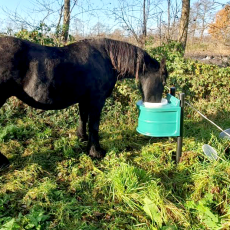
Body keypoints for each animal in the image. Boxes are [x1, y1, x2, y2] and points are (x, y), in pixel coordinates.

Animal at [0, 35, 166, 165]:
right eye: (164, 80)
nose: (156, 104)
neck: (107, 58)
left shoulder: (84, 99)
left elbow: (83, 118)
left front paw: (82, 137)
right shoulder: (96, 100)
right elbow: (94, 125)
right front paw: (96, 151)